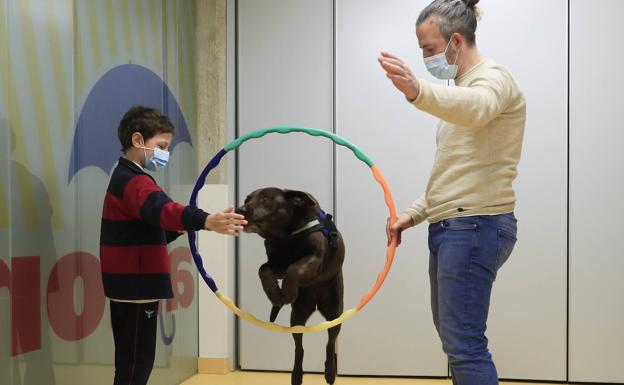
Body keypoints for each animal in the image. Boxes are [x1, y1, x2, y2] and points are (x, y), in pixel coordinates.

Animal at [235, 188, 344, 382]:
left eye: (266, 198)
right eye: (246, 199)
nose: (240, 209)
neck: (285, 237)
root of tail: (316, 303)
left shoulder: (314, 260)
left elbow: (294, 268)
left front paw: (287, 292)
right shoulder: (277, 264)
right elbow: (263, 270)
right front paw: (275, 294)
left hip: (334, 314)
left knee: (330, 344)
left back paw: (330, 371)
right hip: (297, 317)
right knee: (299, 348)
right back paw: (297, 374)